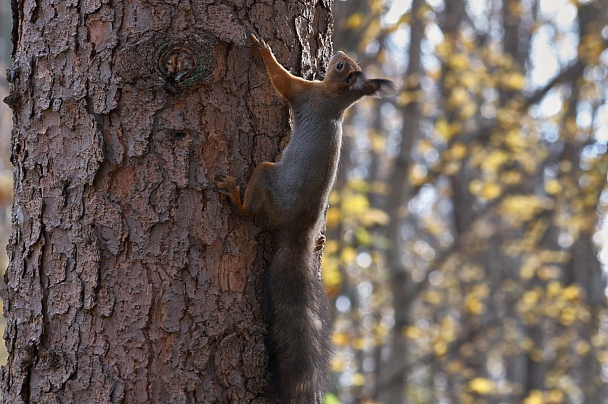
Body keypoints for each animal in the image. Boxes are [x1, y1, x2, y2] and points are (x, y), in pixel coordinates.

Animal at [218, 35, 394, 404]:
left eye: (340, 67)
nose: (338, 53)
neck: (336, 102)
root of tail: (298, 232)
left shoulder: (304, 94)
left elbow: (282, 81)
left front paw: (263, 50)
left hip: (265, 176)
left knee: (251, 211)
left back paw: (236, 198)